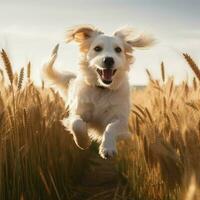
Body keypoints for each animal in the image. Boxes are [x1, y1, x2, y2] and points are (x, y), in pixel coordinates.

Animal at [43, 24, 154, 159]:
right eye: (97, 48)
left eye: (118, 49)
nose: (108, 60)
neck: (102, 90)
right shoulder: (78, 113)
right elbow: (77, 124)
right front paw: (84, 142)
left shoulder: (120, 120)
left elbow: (111, 128)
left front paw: (107, 148)